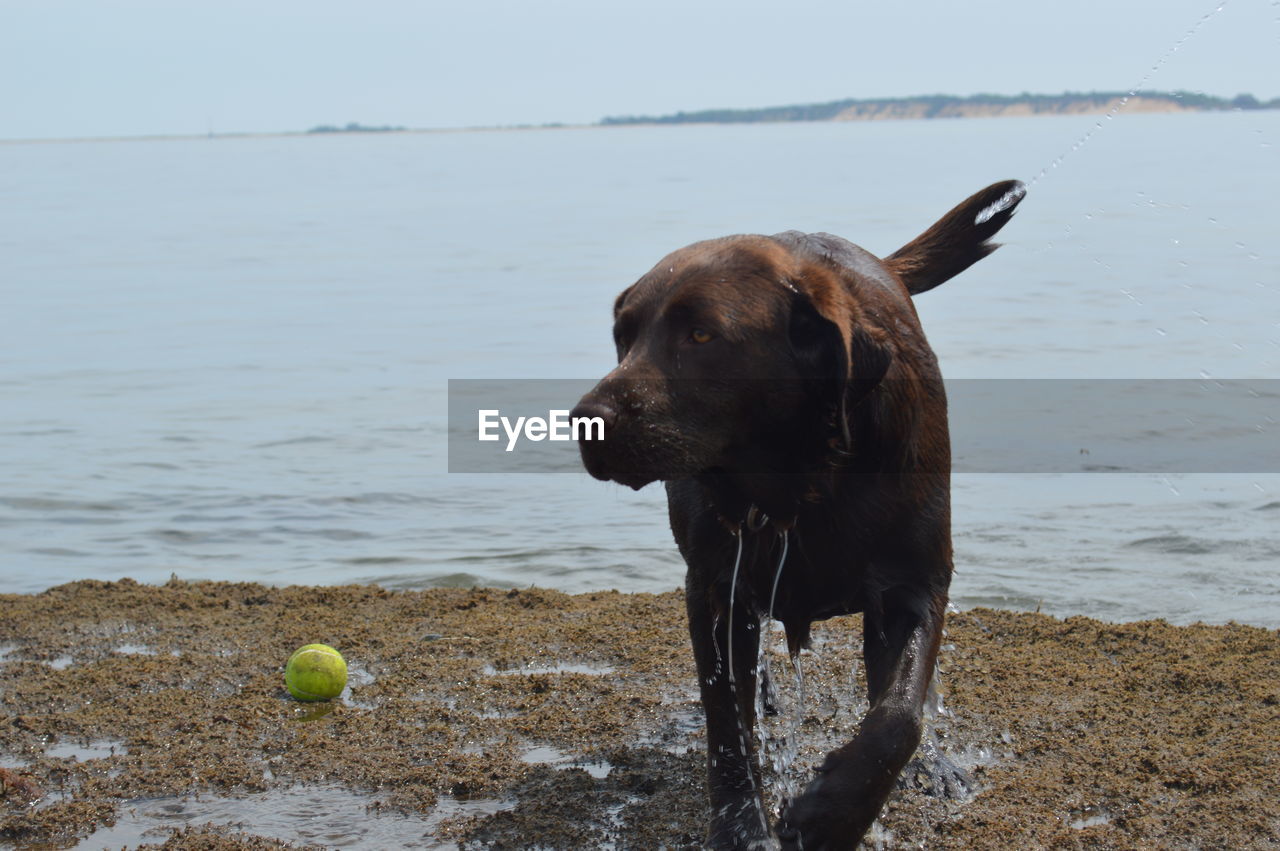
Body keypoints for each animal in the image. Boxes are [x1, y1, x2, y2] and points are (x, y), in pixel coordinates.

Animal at [576, 177, 1024, 844]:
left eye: (702, 335)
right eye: (623, 337)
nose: (586, 421)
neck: (804, 481)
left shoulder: (914, 584)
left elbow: (899, 714)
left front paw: (829, 816)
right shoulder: (715, 587)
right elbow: (727, 727)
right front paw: (741, 826)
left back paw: (936, 767)